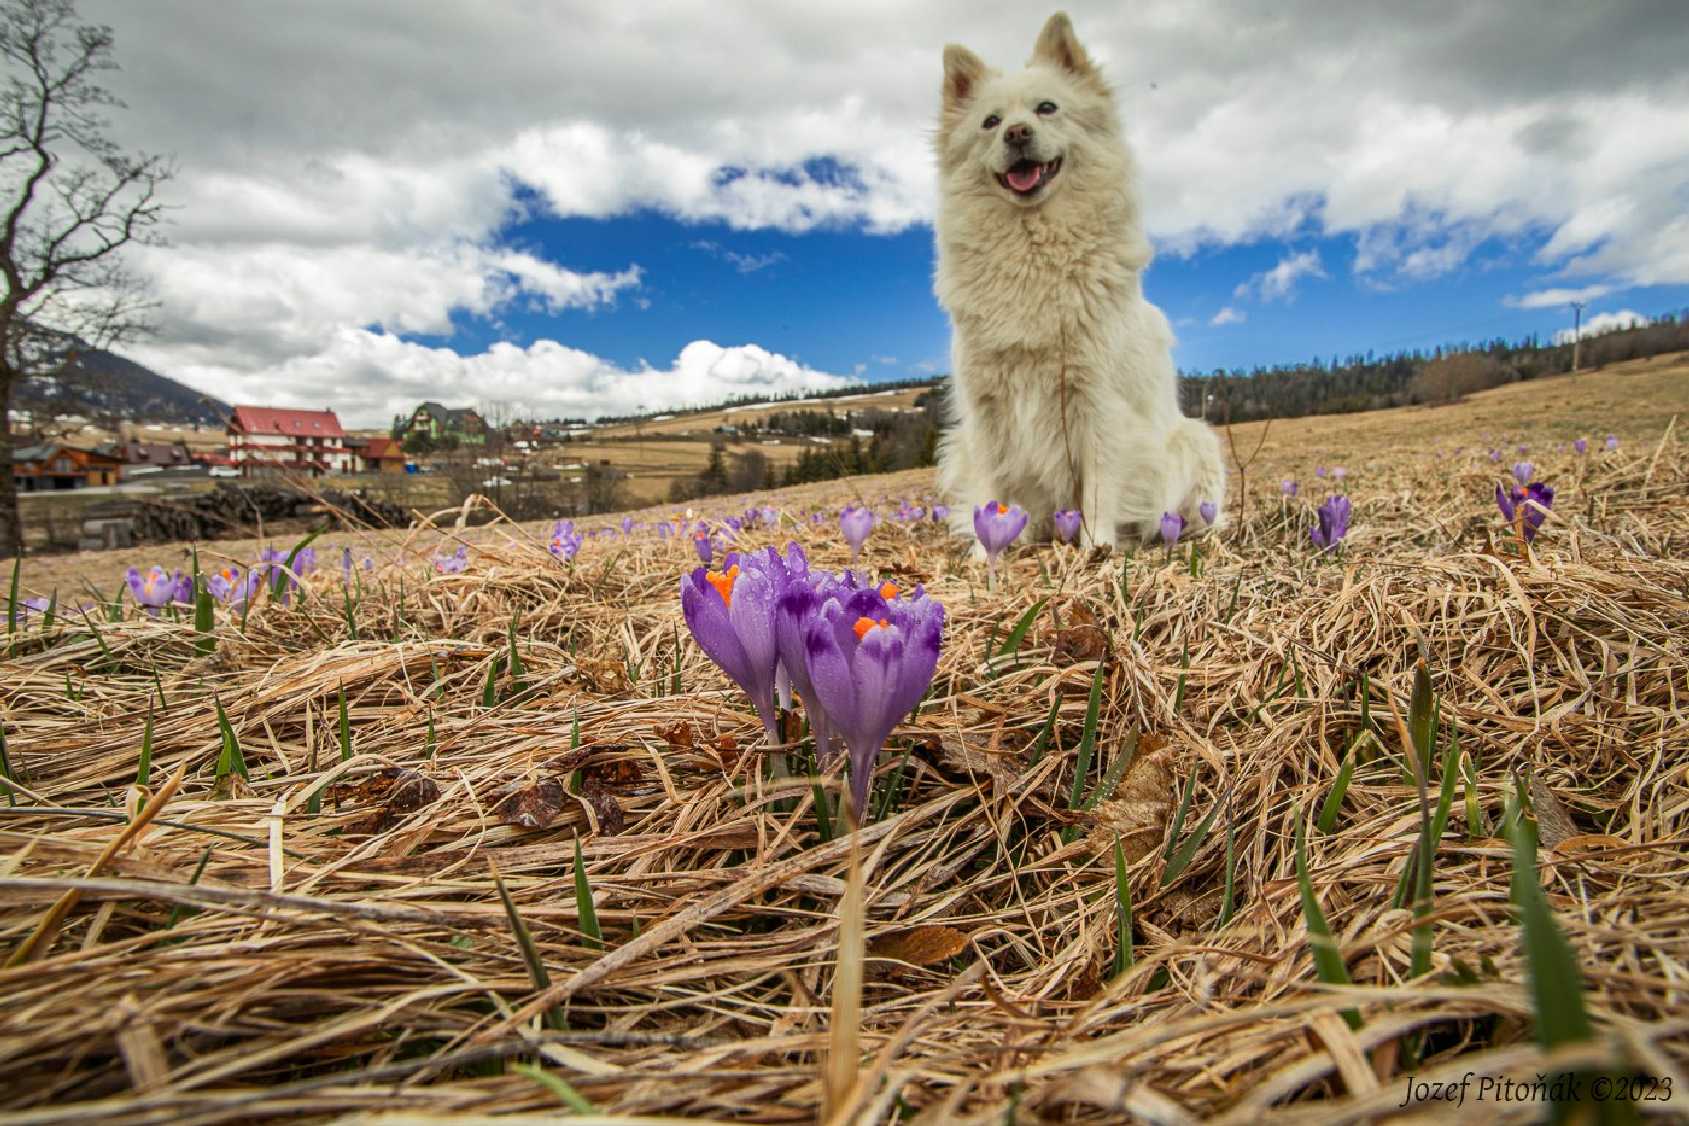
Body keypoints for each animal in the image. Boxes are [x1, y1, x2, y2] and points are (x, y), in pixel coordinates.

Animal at [939, 11, 1229, 550]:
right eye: (990, 122)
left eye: (1047, 108)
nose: (1016, 133)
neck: (1031, 248)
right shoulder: (985, 408)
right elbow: (991, 488)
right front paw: (987, 550)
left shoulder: (1096, 400)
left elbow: (1098, 484)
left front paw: (1097, 547)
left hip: (1194, 440)